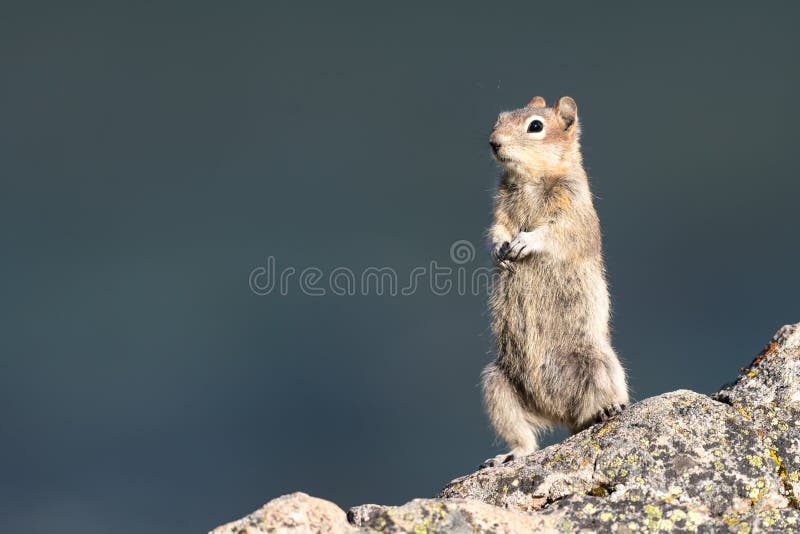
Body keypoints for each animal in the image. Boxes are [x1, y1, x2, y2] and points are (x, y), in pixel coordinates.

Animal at [482, 95, 632, 468]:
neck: (531, 179)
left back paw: (608, 410)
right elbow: (497, 228)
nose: (493, 142)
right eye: (499, 118)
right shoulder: (499, 209)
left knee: (596, 403)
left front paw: (524, 242)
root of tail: (559, 414)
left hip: (597, 363)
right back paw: (508, 455)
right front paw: (499, 250)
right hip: (498, 385)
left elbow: (554, 232)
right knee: (525, 438)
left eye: (535, 126)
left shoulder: (571, 208)